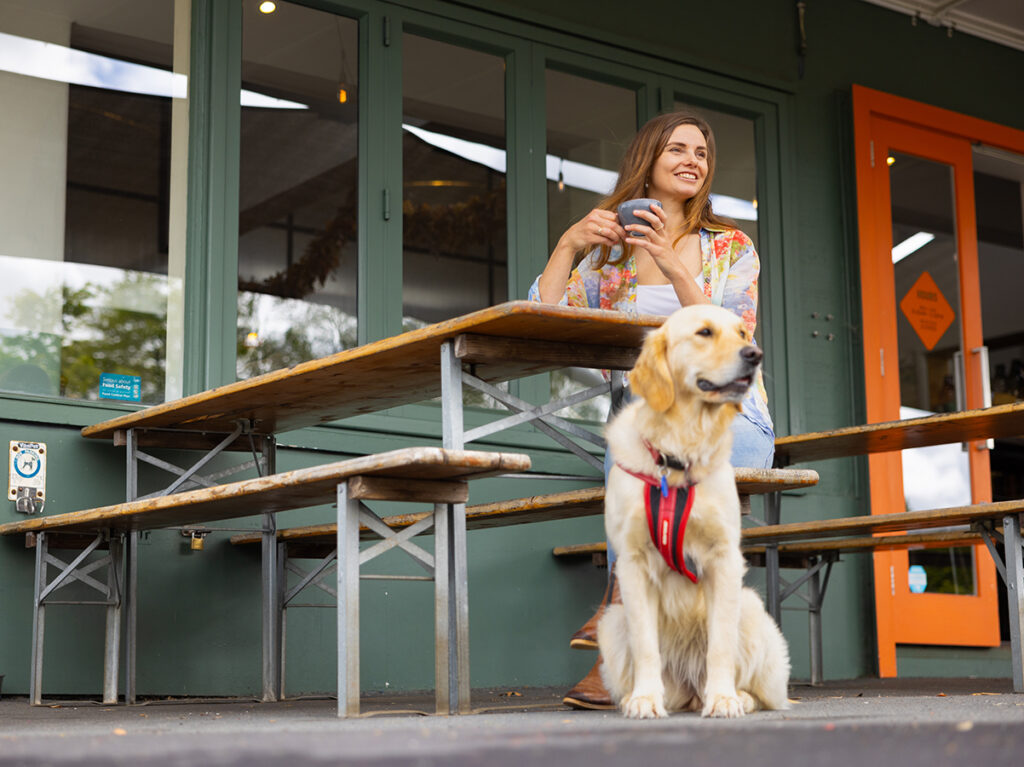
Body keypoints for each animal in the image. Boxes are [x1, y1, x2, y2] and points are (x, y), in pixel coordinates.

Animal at [598, 303, 786, 716]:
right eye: (704, 332)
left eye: (742, 333)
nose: (755, 354)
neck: (679, 453)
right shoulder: (633, 563)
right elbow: (646, 645)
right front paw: (645, 699)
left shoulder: (723, 558)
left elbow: (720, 644)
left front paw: (723, 699)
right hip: (612, 622)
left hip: (752, 609)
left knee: (762, 693)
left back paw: (735, 696)